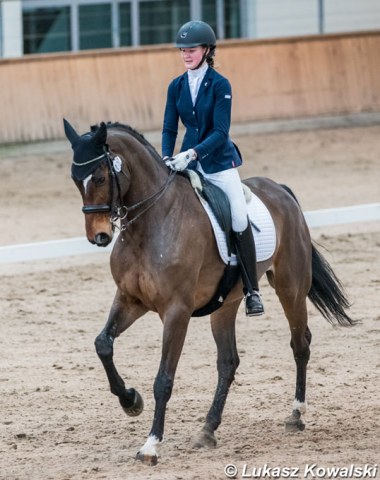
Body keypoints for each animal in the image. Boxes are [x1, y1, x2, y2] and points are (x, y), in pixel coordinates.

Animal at [63, 119, 354, 464]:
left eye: (99, 176)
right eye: (75, 179)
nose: (99, 236)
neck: (150, 224)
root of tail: (280, 190)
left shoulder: (177, 311)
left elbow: (163, 379)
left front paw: (151, 444)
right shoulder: (130, 300)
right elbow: (103, 344)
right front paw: (130, 401)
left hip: (290, 287)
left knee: (300, 344)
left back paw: (295, 415)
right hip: (225, 305)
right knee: (228, 362)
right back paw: (208, 429)